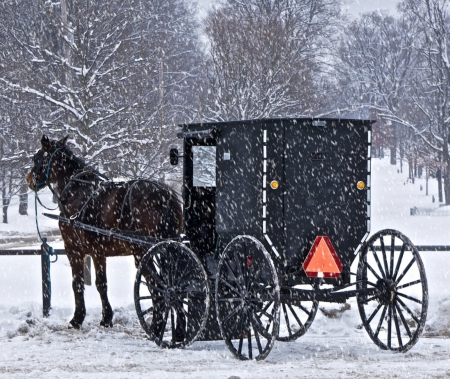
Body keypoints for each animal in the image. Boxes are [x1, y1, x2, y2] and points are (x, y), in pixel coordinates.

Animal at [26, 136, 183, 330]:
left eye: (37, 157)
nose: (29, 179)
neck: (77, 191)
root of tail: (166, 195)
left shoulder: (73, 249)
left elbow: (77, 283)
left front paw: (77, 318)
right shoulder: (98, 252)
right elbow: (102, 284)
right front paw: (106, 318)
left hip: (142, 252)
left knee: (158, 288)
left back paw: (156, 326)